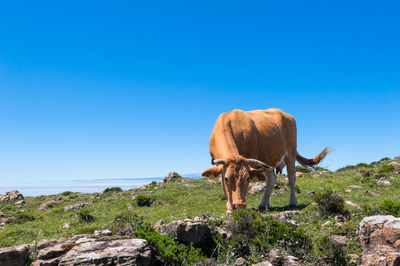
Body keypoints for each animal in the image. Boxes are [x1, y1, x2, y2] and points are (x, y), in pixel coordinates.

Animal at [202, 107, 330, 213]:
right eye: (227, 178)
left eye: (248, 178)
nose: (240, 206)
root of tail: (286, 114)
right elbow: (224, 187)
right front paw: (229, 208)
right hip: (268, 159)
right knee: (272, 178)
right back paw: (264, 204)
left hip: (290, 153)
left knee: (291, 176)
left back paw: (292, 202)